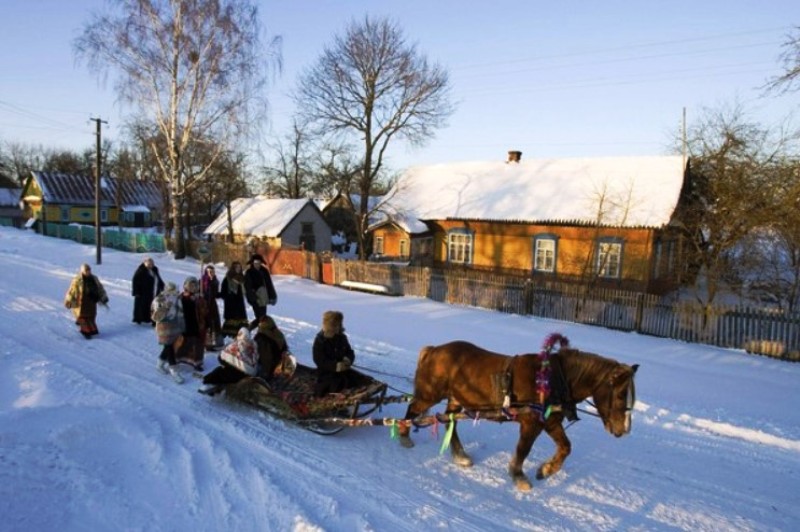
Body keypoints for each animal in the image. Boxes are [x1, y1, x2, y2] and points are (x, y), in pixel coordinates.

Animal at [398, 340, 636, 490]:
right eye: (620, 394)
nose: (623, 430)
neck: (553, 380)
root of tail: (434, 350)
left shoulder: (550, 422)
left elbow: (566, 447)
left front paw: (546, 470)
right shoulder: (531, 423)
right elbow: (523, 449)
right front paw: (518, 475)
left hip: (456, 399)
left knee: (450, 423)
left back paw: (460, 455)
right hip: (430, 394)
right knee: (413, 409)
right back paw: (404, 435)